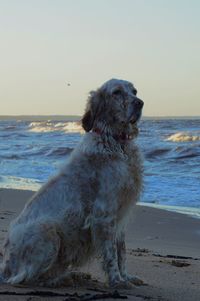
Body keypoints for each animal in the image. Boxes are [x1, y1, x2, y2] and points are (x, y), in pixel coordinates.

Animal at [0, 78, 144, 288]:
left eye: (134, 91)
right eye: (116, 92)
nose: (140, 103)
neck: (117, 143)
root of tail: (4, 270)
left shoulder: (120, 216)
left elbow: (121, 252)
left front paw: (126, 277)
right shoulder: (104, 213)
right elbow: (110, 254)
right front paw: (117, 281)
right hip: (48, 230)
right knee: (28, 278)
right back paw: (64, 278)